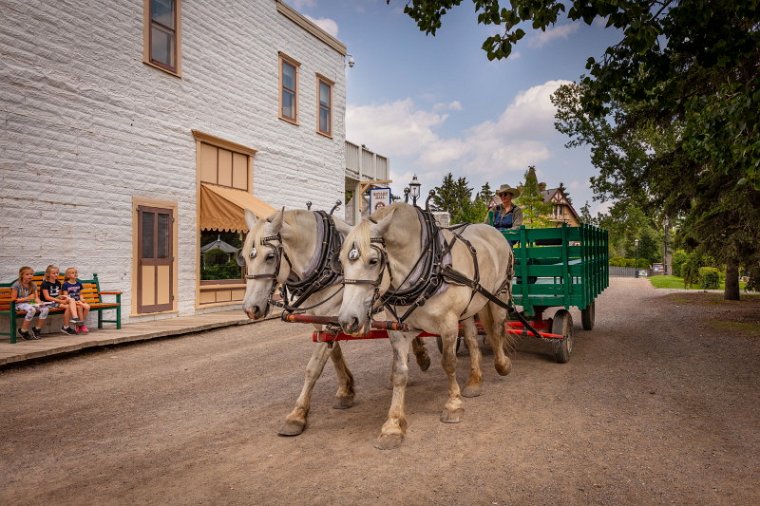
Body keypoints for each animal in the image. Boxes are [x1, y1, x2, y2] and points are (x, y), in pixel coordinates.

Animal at [243, 208, 434, 436]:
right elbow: (333, 353)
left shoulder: (336, 315)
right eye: (243, 257)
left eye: (270, 256)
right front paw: (345, 390)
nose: (250, 309)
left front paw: (297, 415)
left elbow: (314, 366)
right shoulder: (324, 318)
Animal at [338, 202, 516, 446]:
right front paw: (393, 426)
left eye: (373, 261)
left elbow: (449, 363)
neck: (431, 266)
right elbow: (400, 373)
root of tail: (492, 230)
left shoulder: (448, 324)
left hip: (499, 294)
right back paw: (474, 381)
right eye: (341, 261)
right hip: (469, 308)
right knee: (472, 340)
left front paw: (453, 405)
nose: (348, 320)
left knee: (497, 331)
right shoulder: (399, 330)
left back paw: (502, 364)